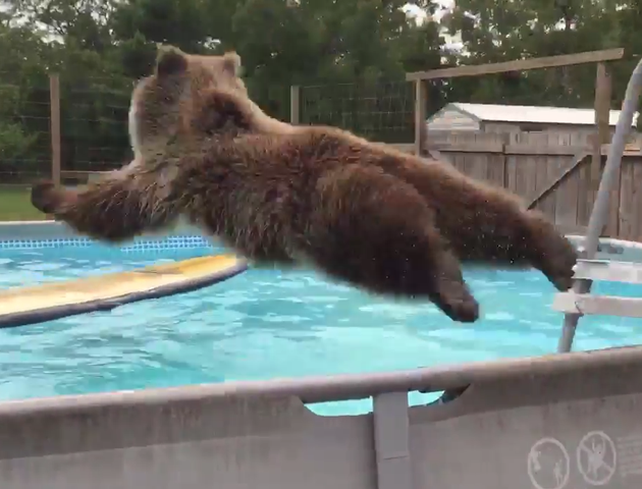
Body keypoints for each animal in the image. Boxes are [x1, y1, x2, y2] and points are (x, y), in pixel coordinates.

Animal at [31, 46, 578, 323]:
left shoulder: (171, 171)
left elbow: (117, 204)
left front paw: (49, 192)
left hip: (335, 214)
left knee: (402, 250)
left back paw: (457, 297)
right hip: (433, 179)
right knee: (488, 217)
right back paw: (558, 256)